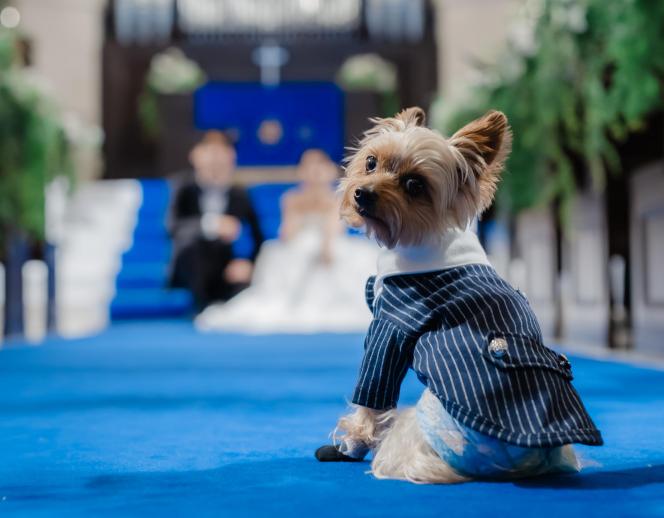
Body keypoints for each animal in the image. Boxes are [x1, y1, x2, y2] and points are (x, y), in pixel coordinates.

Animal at [316, 107, 600, 486]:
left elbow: (372, 392)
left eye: (414, 185)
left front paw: (353, 441)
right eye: (371, 162)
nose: (362, 193)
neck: (423, 240)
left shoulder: (390, 328)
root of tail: (524, 461)